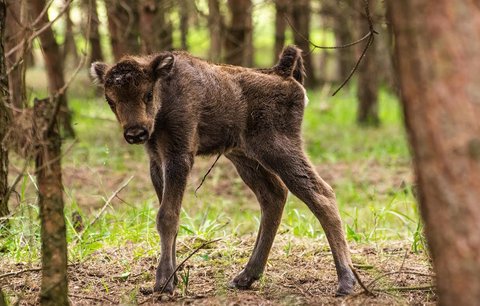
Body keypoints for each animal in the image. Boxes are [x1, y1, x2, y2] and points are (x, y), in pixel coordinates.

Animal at [90, 46, 354, 296]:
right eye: (110, 101)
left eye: (147, 93)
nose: (135, 133)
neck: (165, 92)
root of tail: (283, 73)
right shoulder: (157, 161)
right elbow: (169, 214)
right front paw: (172, 279)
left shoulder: (179, 156)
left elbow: (167, 216)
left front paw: (163, 283)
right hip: (244, 157)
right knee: (274, 195)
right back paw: (245, 277)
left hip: (277, 148)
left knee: (321, 195)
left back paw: (346, 281)